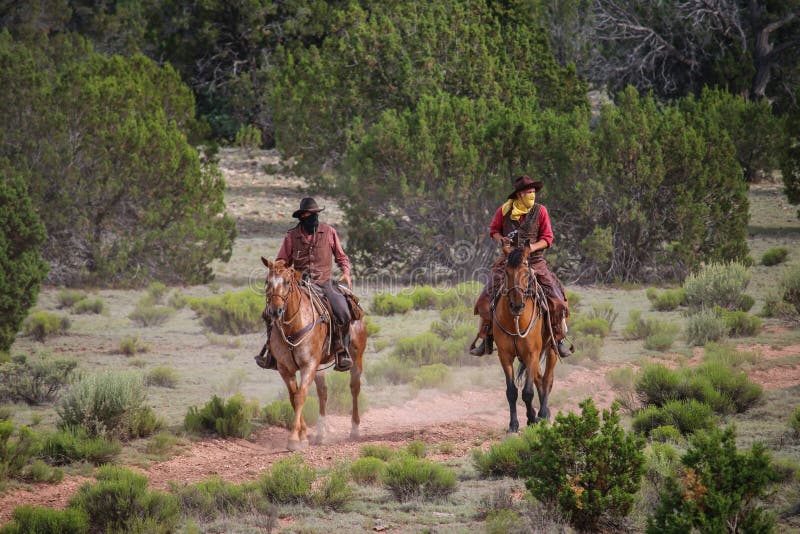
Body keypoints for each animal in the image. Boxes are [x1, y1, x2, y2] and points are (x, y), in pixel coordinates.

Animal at [260, 258, 368, 450]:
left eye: (287, 282)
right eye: (267, 282)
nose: (275, 311)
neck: (292, 327)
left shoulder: (308, 365)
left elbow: (300, 396)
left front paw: (294, 439)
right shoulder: (285, 369)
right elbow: (293, 397)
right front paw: (303, 435)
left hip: (356, 358)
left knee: (354, 388)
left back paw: (355, 429)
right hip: (320, 366)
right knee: (323, 393)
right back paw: (321, 434)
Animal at [490, 247, 560, 436]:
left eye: (526, 273)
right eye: (506, 272)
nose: (517, 305)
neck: (515, 320)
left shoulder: (531, 354)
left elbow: (527, 392)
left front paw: (532, 419)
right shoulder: (505, 356)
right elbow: (512, 392)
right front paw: (514, 424)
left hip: (551, 349)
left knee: (547, 380)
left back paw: (543, 414)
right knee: (539, 379)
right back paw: (543, 414)